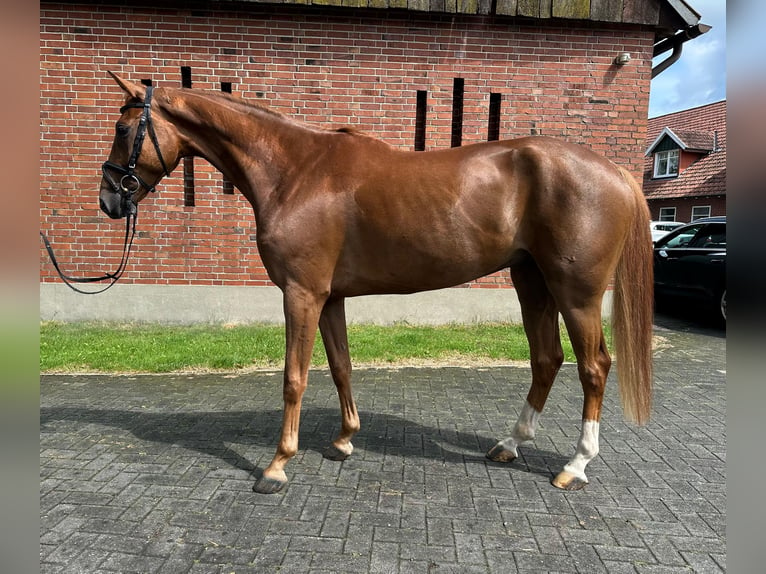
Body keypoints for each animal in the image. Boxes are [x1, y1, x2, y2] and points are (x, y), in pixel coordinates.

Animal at [97, 72, 656, 496]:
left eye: (124, 128)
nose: (109, 200)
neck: (294, 171)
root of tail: (615, 172)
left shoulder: (301, 294)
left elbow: (294, 378)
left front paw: (277, 466)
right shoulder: (329, 298)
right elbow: (341, 367)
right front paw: (344, 441)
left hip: (576, 293)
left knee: (593, 367)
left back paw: (575, 466)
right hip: (531, 282)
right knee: (547, 360)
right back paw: (510, 445)